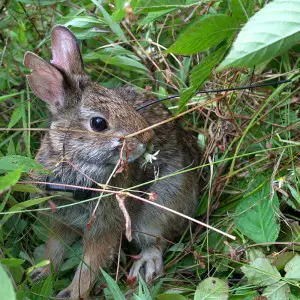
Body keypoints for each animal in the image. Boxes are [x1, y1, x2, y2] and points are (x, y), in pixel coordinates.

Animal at [24, 26, 202, 300]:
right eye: (99, 123)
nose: (147, 139)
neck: (76, 169)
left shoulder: (104, 228)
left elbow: (90, 264)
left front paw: (71, 293)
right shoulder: (59, 221)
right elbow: (53, 250)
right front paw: (40, 276)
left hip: (160, 207)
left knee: (157, 240)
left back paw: (144, 268)